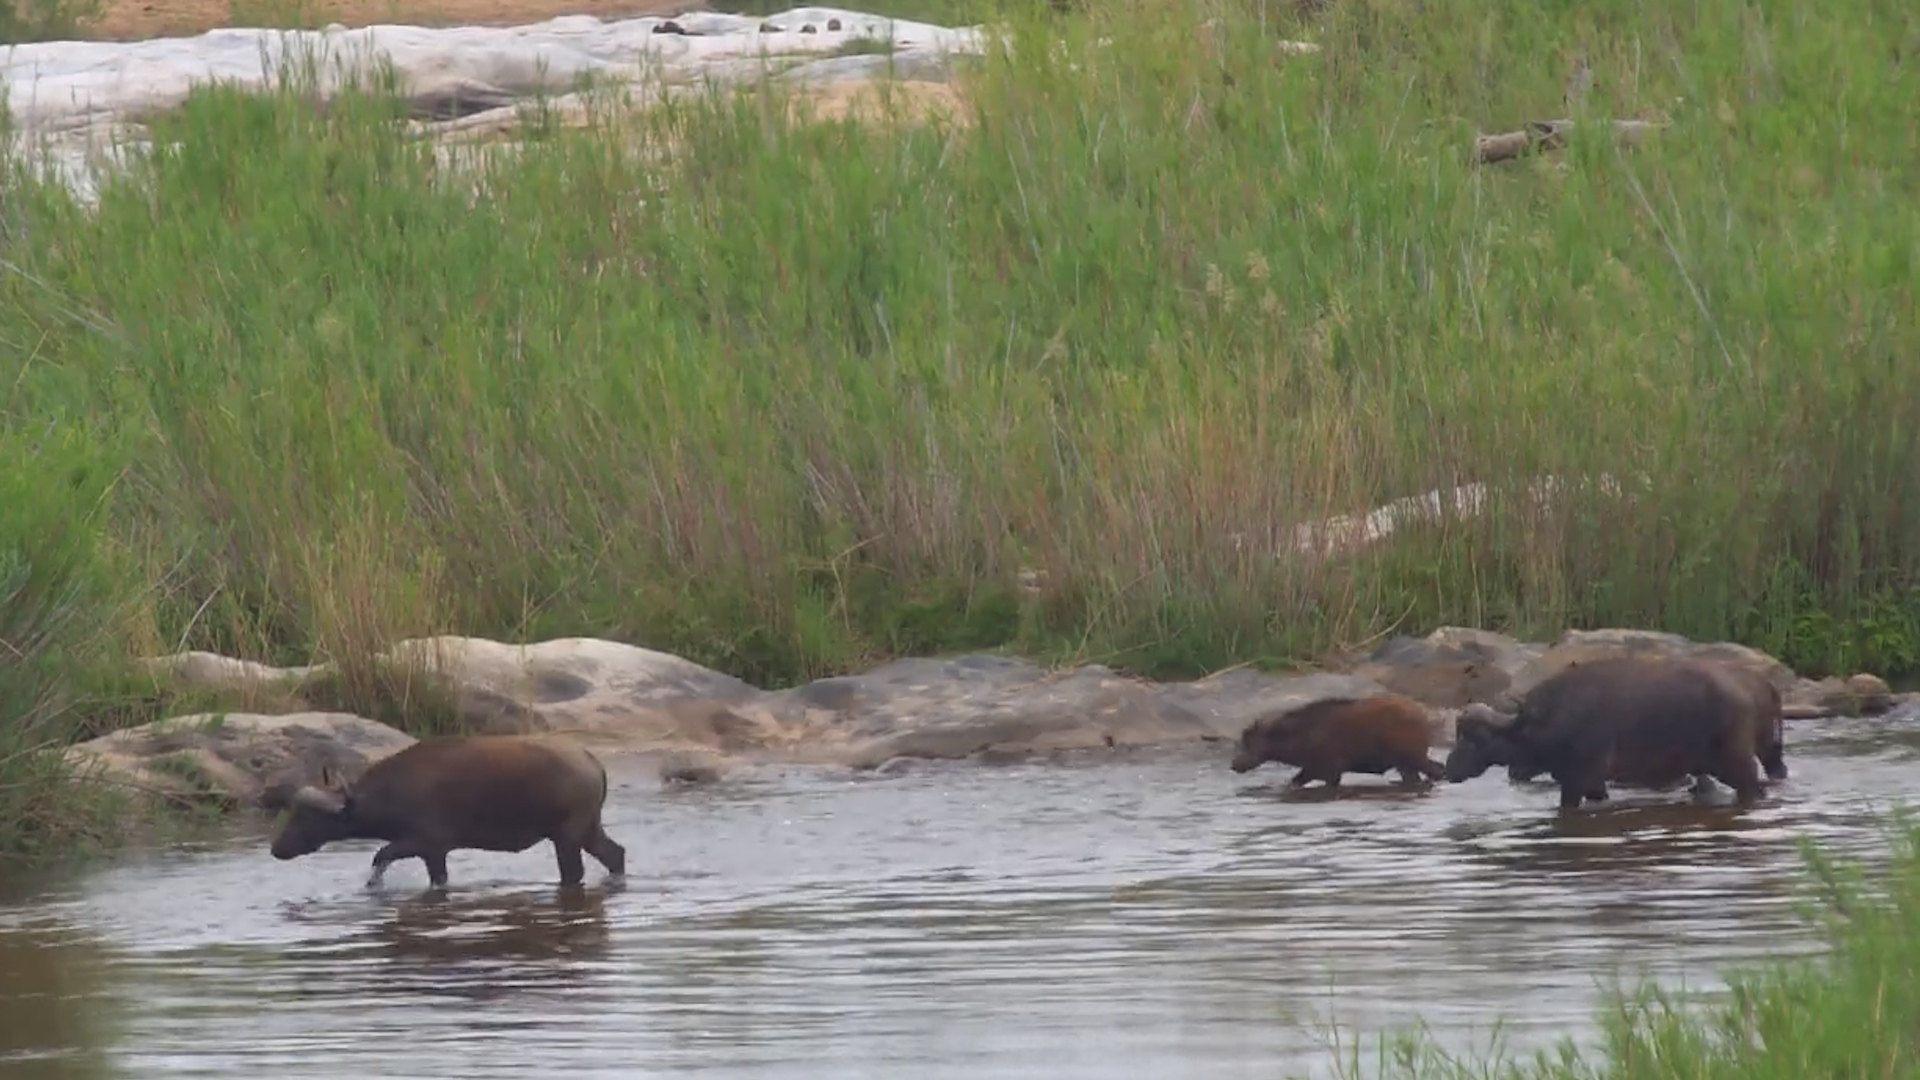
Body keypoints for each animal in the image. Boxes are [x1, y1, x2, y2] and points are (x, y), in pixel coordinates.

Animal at [266, 734, 628, 888]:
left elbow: (381, 856)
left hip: (567, 837)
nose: (276, 848)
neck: (392, 791)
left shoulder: (429, 846)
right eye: (291, 812)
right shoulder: (428, 850)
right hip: (588, 829)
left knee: (574, 873)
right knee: (615, 854)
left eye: (308, 816)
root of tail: (590, 761)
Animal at [1230, 694, 1445, 789]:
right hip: (1405, 762)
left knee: (1437, 769)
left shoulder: (1328, 769)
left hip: (1411, 756)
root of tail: (1425, 717)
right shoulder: (1315, 768)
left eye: (1249, 743)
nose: (1234, 764)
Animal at [1444, 656, 1772, 809]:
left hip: (1734, 763)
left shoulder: (1576, 781)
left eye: (1471, 738)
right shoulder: (1593, 784)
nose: (1449, 768)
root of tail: (1746, 689)